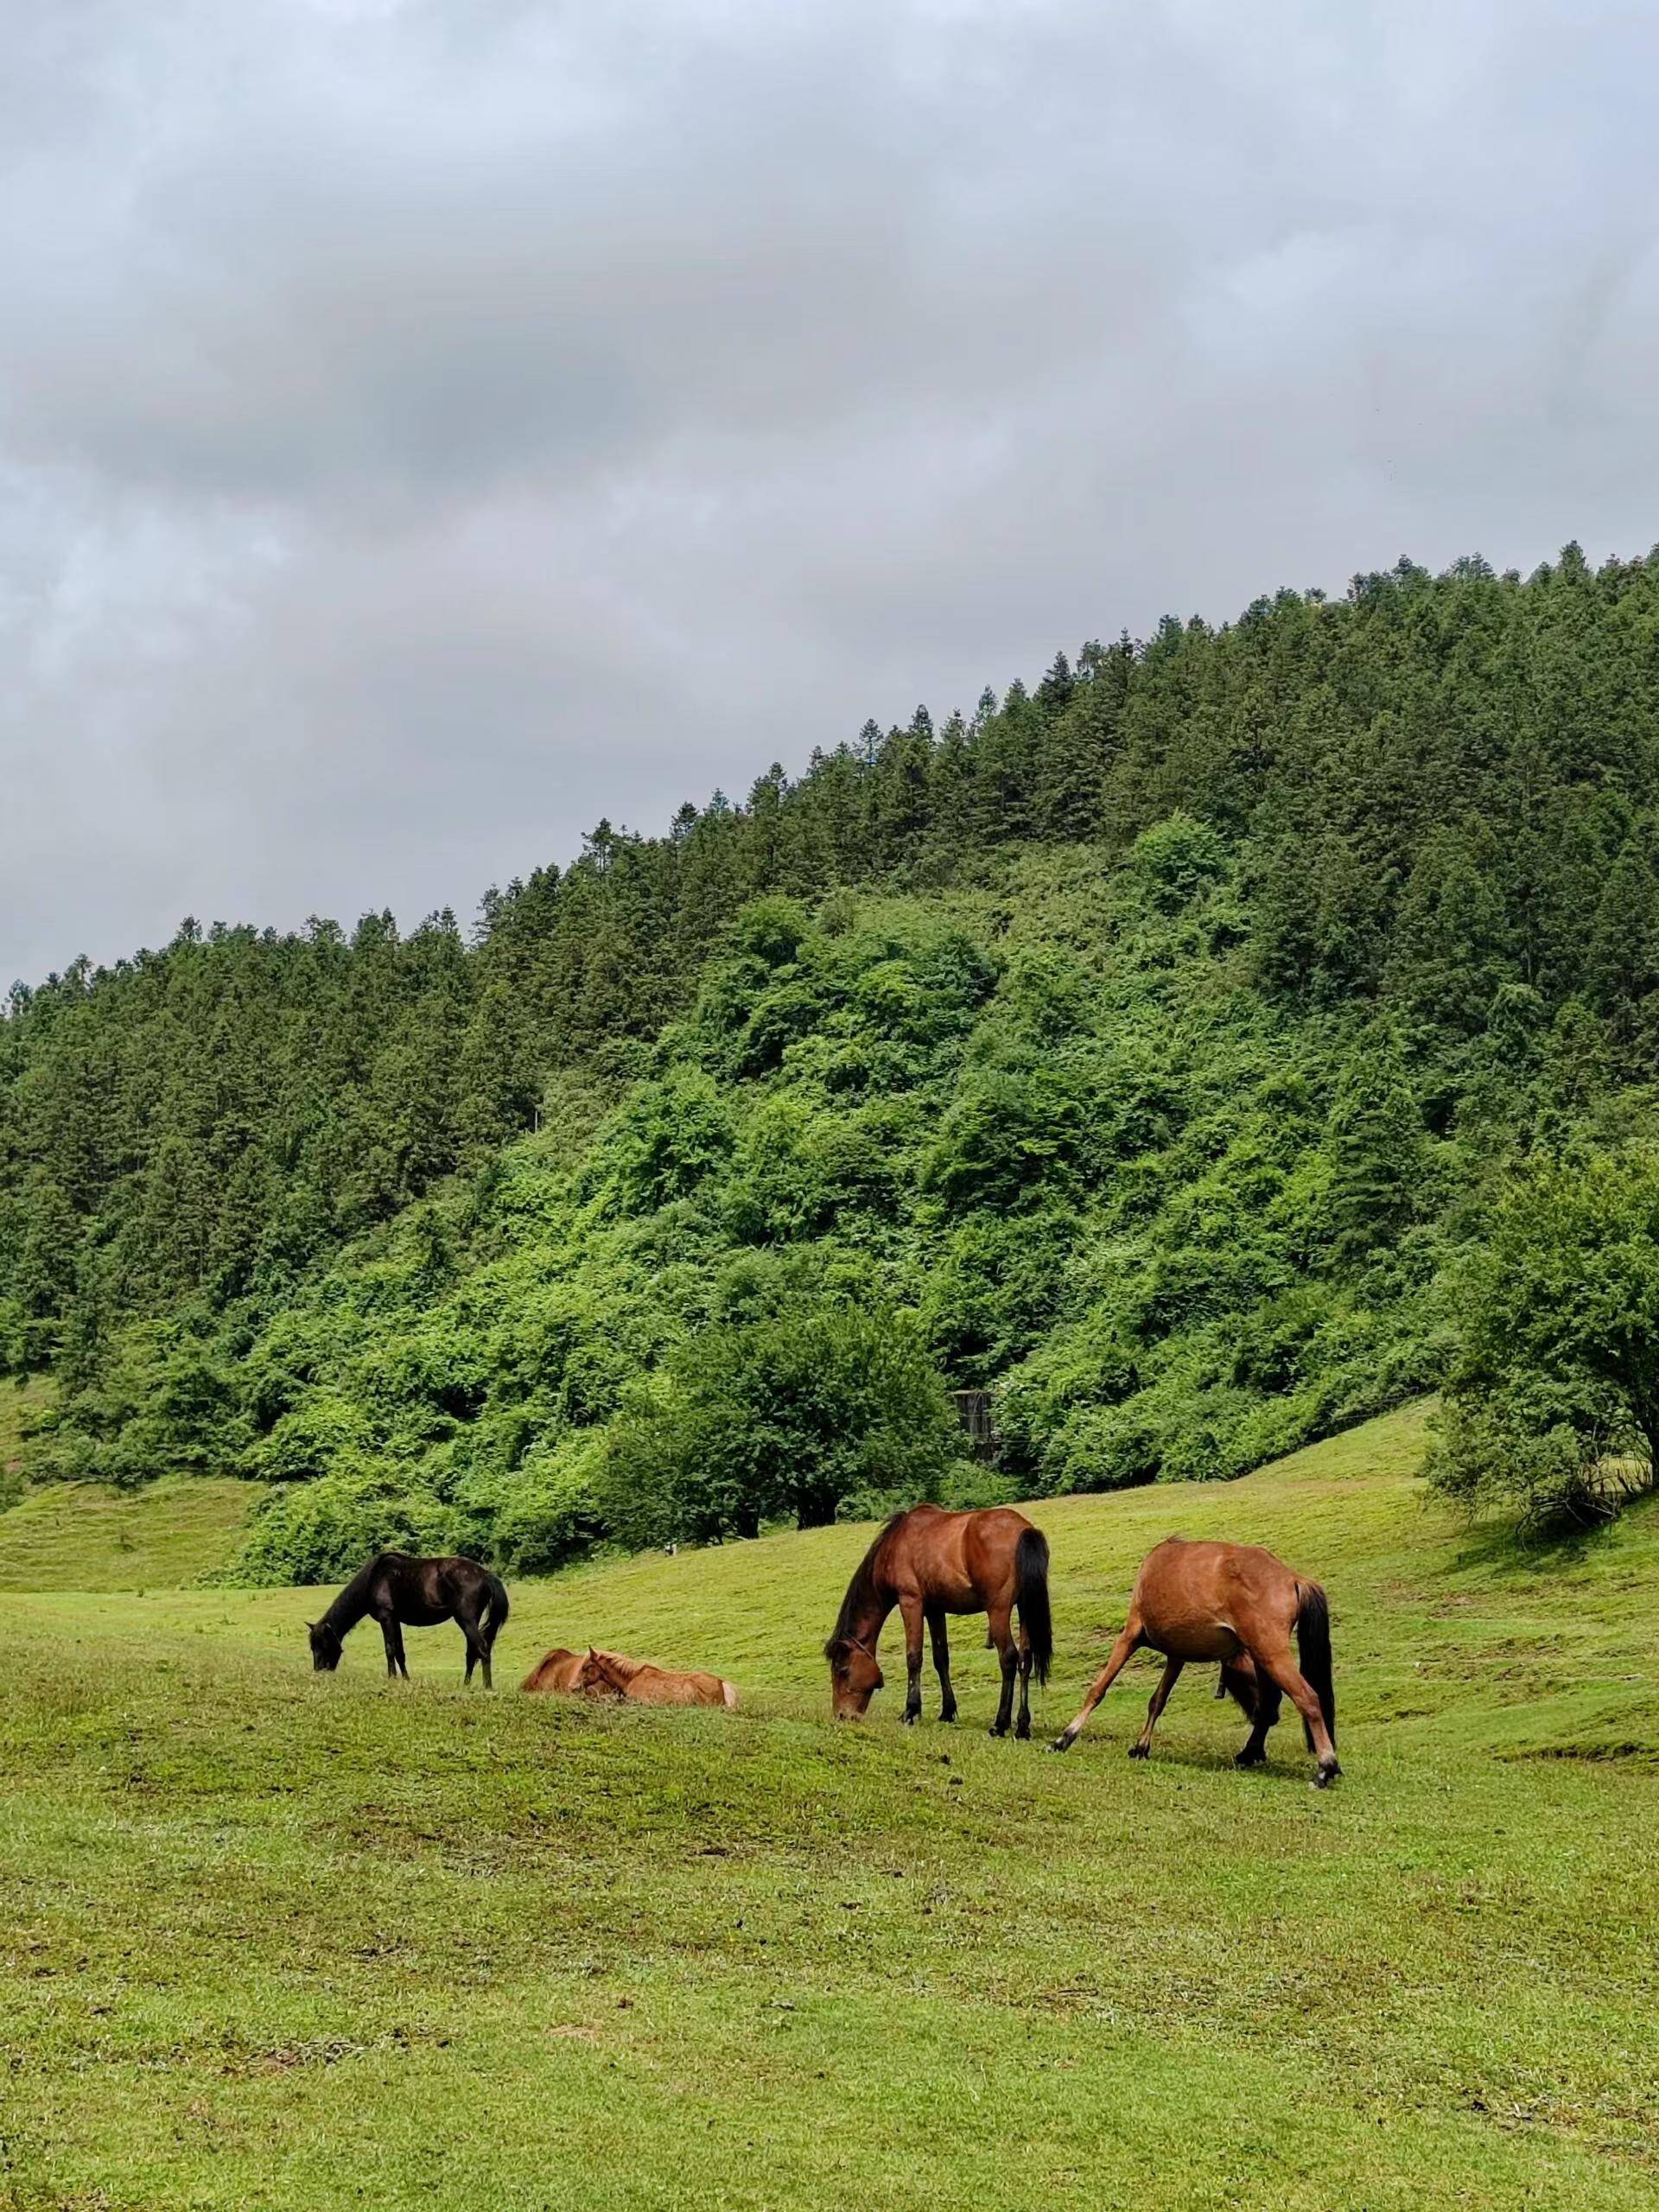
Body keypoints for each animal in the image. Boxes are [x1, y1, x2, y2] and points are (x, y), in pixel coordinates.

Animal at [307, 1548, 511, 1681]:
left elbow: (390, 1649)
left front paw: (392, 1678)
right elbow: (400, 1652)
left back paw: (487, 1687)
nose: (318, 1671)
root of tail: (485, 1574)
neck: (374, 1578)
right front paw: (405, 1679)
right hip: (471, 1621)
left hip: (466, 1620)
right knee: (472, 1652)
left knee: (482, 1649)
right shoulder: (395, 1621)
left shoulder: (386, 1618)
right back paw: (466, 1686)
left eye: (323, 1644)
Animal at [827, 1503, 1052, 1743]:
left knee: (1009, 1658)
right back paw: (1022, 1726)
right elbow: (940, 1658)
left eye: (843, 1671)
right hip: (1025, 1608)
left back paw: (1000, 1724)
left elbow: (914, 1657)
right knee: (1025, 1660)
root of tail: (1024, 1530)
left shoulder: (911, 1602)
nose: (841, 1715)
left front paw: (910, 1711)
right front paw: (947, 1711)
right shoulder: (935, 1610)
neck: (895, 1545)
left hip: (998, 1611)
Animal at [1057, 1539, 1344, 1778]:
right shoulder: (1176, 1656)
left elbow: (1098, 1689)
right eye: (1246, 1679)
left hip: (1270, 1654)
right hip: (1263, 1655)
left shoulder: (1130, 1636)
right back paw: (1251, 1751)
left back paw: (1326, 1765)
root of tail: (1293, 1578)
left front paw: (1065, 1737)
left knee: (1307, 1699)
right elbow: (1157, 1701)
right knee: (1270, 1702)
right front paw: (1141, 1747)